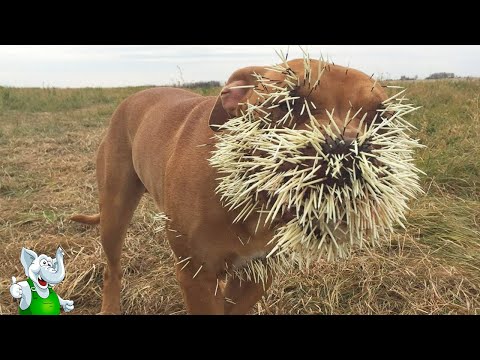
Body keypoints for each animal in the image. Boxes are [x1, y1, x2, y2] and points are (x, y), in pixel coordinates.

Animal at [70, 57, 386, 314]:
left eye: (381, 117)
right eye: (288, 103)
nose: (346, 149)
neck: (253, 200)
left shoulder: (257, 274)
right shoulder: (196, 275)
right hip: (114, 213)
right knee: (112, 269)